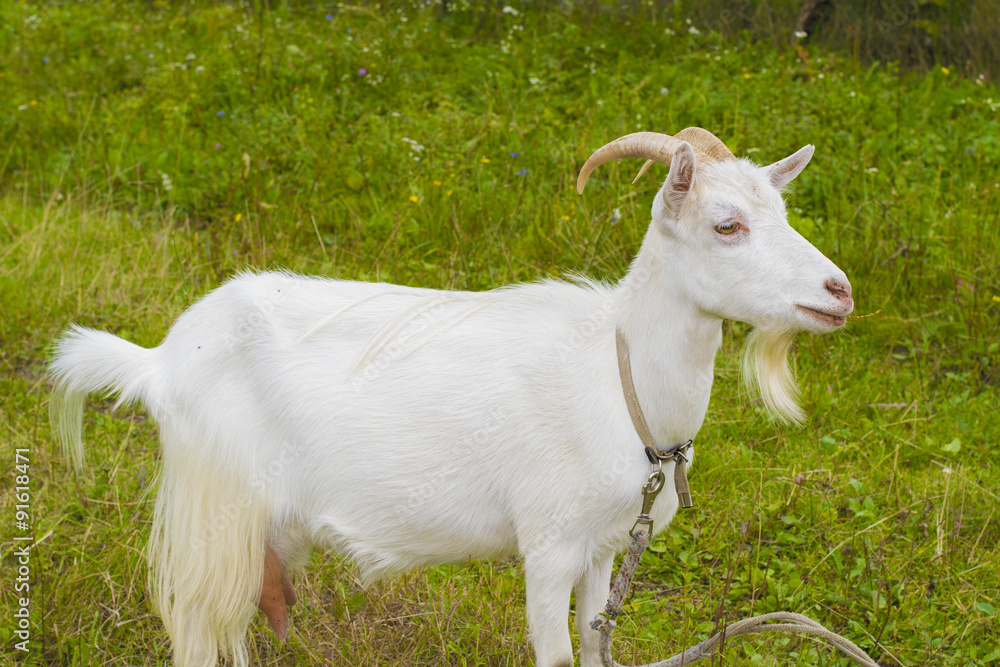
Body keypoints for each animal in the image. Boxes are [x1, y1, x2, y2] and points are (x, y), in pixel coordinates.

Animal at [49, 128, 853, 667]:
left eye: (783, 216)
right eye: (728, 225)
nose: (839, 291)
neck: (619, 379)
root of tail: (160, 360)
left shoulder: (604, 548)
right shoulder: (549, 547)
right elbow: (557, 656)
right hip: (213, 514)